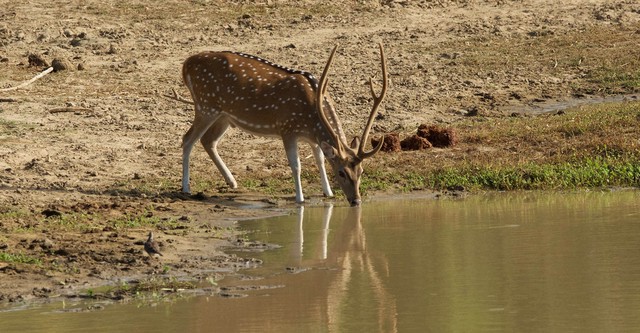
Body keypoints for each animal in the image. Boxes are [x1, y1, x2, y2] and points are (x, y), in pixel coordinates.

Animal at [181, 43, 390, 205]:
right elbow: (296, 165)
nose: (356, 201)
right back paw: (186, 187)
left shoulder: (312, 138)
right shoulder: (287, 128)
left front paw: (328, 193)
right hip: (205, 106)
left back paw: (232, 182)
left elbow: (320, 160)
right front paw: (300, 198)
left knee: (208, 141)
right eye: (341, 173)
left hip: (223, 116)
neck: (311, 116)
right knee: (187, 139)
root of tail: (186, 64)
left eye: (361, 171)